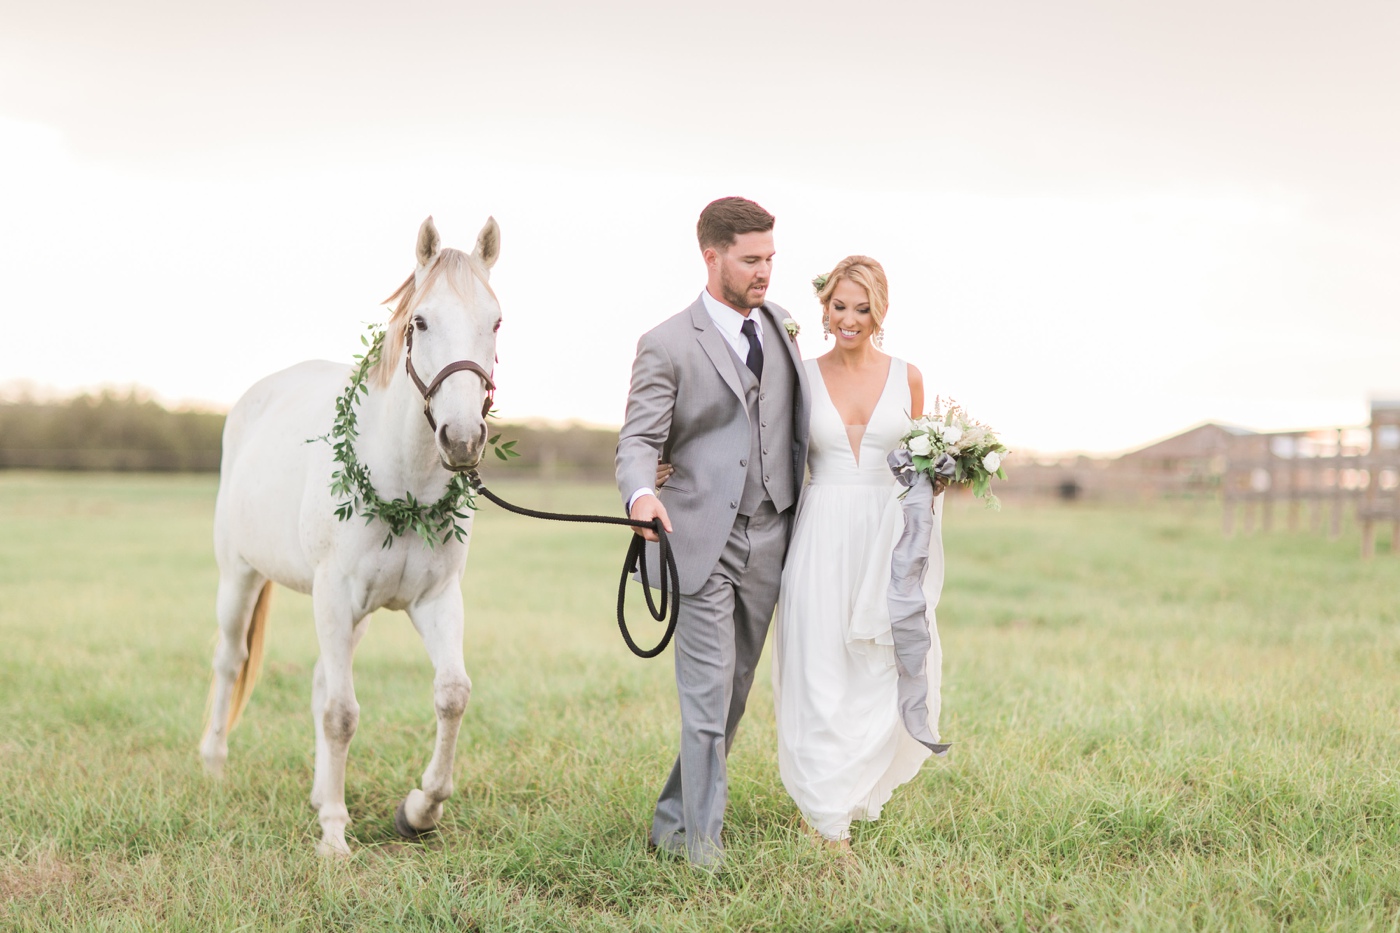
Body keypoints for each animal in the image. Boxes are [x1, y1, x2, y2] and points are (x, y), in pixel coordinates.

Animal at [199, 216, 502, 856]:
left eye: (495, 322)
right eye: (420, 321)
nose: (462, 438)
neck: (403, 482)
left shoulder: (436, 601)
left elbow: (452, 694)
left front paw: (420, 809)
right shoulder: (334, 595)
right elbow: (342, 713)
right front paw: (335, 838)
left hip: (350, 613)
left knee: (318, 680)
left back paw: (320, 794)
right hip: (240, 577)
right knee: (231, 661)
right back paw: (214, 762)